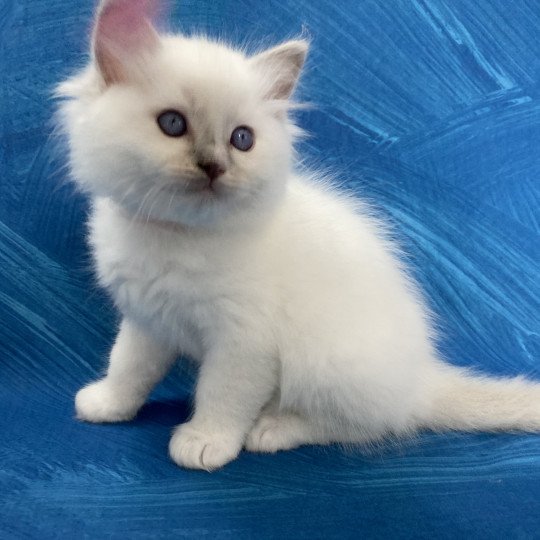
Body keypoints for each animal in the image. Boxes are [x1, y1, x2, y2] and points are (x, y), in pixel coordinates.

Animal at [56, 0, 540, 470]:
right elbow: (128, 365)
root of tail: (421, 379)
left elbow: (222, 394)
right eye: (173, 124)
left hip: (326, 362)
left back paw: (274, 428)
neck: (178, 235)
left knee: (363, 426)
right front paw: (108, 404)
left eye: (242, 139)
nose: (214, 166)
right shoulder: (147, 320)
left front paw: (207, 441)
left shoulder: (244, 341)